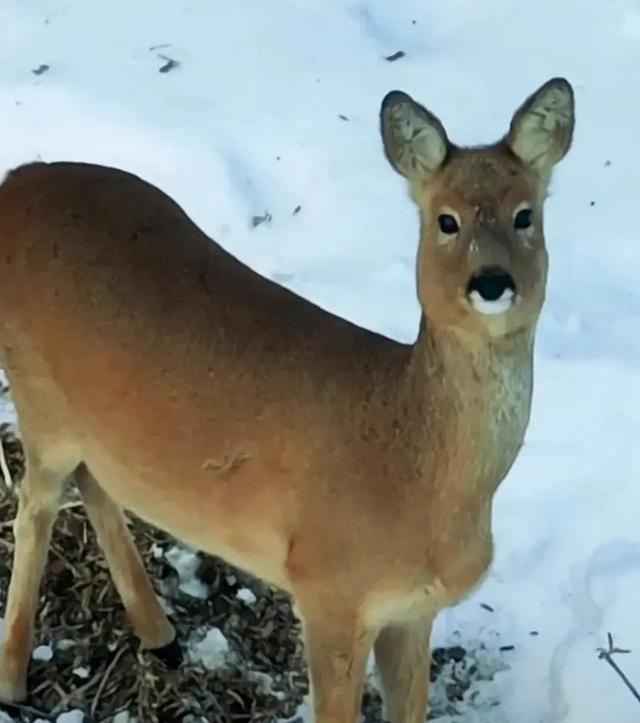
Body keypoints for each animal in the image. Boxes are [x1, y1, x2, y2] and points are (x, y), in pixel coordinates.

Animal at [0, 76, 576, 720]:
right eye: (445, 220)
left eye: (526, 215)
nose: (493, 282)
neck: (415, 469)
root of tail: (17, 179)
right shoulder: (328, 589)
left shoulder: (411, 611)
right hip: (37, 397)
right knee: (34, 507)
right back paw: (13, 680)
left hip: (88, 427)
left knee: (96, 484)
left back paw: (161, 636)